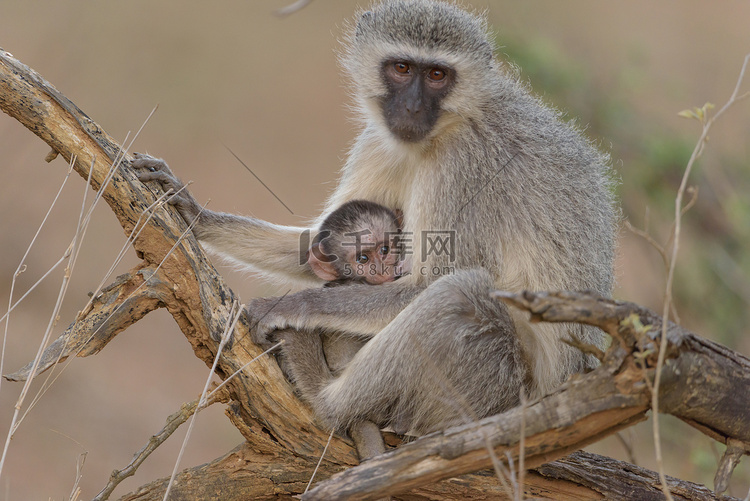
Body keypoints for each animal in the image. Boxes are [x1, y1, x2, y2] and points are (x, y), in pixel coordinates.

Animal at [134, 0, 616, 444]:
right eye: (402, 68)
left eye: (437, 75)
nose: (413, 106)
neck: (444, 129)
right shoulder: (379, 141)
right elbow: (316, 245)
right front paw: (194, 216)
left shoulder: (467, 165)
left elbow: (427, 284)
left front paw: (291, 306)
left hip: (495, 393)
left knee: (459, 293)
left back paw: (326, 398)